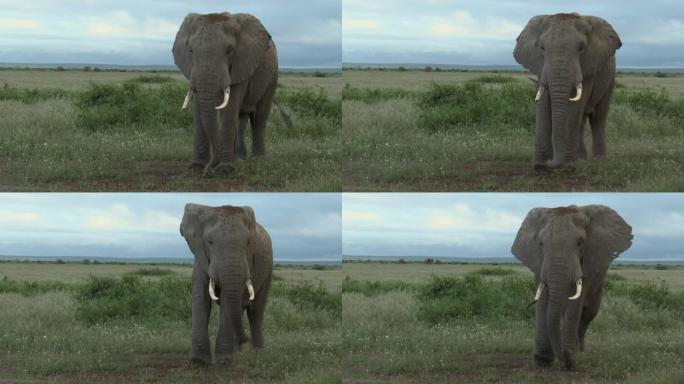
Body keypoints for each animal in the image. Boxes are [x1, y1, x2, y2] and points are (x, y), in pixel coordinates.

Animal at [172, 11, 280, 174]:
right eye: (191, 51)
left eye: (229, 51)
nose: (209, 171)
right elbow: (198, 112)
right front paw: (197, 168)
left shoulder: (241, 63)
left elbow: (229, 111)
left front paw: (225, 169)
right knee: (241, 119)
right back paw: (240, 159)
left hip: (272, 76)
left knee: (259, 117)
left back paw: (258, 160)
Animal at [180, 202, 274, 364]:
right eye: (210, 242)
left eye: (248, 242)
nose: (245, 339)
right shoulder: (200, 255)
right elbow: (201, 298)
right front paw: (199, 362)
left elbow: (226, 300)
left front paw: (223, 361)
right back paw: (237, 351)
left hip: (268, 269)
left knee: (255, 310)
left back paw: (257, 352)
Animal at [510, 204, 632, 368]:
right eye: (540, 244)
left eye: (580, 243)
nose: (563, 356)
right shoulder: (539, 262)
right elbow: (543, 299)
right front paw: (542, 360)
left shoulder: (588, 262)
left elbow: (576, 303)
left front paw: (570, 359)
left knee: (588, 314)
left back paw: (580, 351)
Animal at [516, 13, 624, 170]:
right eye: (542, 48)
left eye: (581, 48)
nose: (551, 162)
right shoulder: (540, 66)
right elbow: (543, 103)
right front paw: (540, 167)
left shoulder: (589, 66)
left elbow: (575, 107)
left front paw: (568, 167)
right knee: (582, 120)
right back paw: (581, 158)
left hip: (610, 78)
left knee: (598, 117)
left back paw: (599, 160)